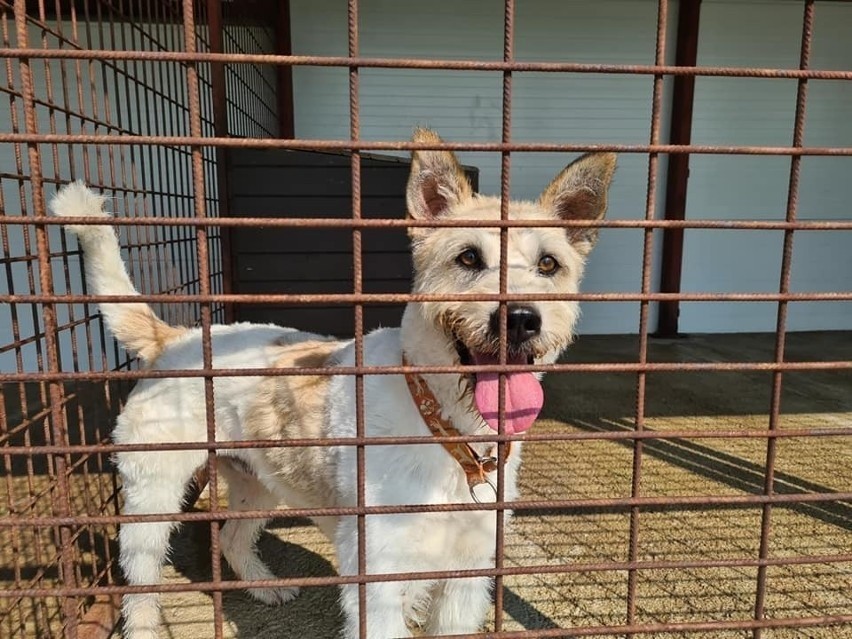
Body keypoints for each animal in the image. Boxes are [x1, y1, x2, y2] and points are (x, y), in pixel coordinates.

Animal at [50, 127, 616, 636]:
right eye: (469, 257)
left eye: (548, 264)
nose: (520, 319)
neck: (449, 430)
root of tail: (177, 338)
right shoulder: (378, 576)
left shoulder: (466, 575)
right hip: (153, 495)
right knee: (142, 578)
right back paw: (147, 623)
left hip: (259, 482)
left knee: (232, 539)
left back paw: (264, 586)